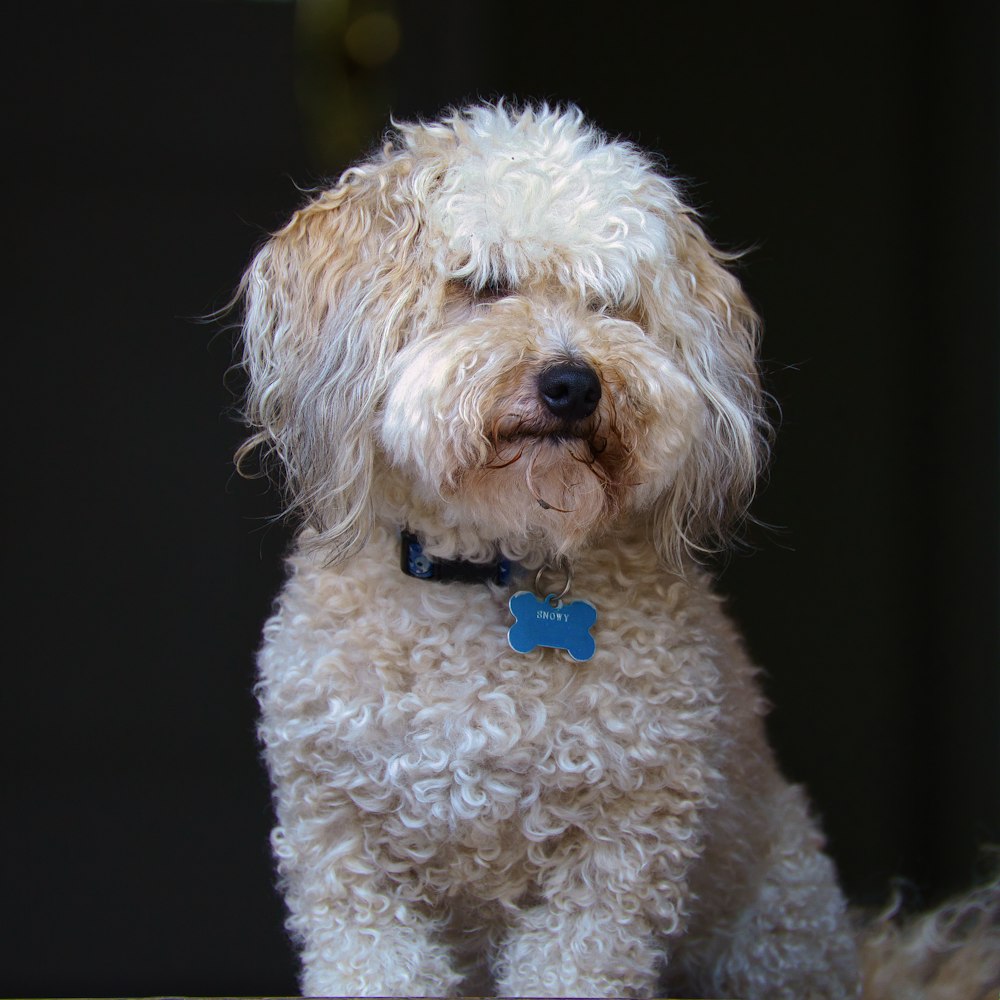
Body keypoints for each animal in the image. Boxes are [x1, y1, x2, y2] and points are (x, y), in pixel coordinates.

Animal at [238, 105, 996, 996]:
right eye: (484, 284)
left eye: (614, 304)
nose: (573, 384)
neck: (491, 566)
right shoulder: (346, 858)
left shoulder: (614, 864)